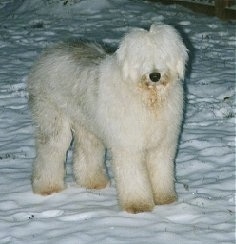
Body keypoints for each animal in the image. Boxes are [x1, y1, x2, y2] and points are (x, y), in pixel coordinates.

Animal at [27, 23, 189, 213]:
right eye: (141, 57)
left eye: (163, 54)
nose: (154, 75)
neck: (147, 98)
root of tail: (51, 50)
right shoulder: (129, 145)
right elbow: (133, 175)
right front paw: (138, 204)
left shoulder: (162, 145)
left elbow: (161, 170)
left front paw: (165, 198)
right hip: (52, 118)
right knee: (51, 151)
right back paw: (47, 186)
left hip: (87, 124)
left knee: (88, 150)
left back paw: (93, 181)